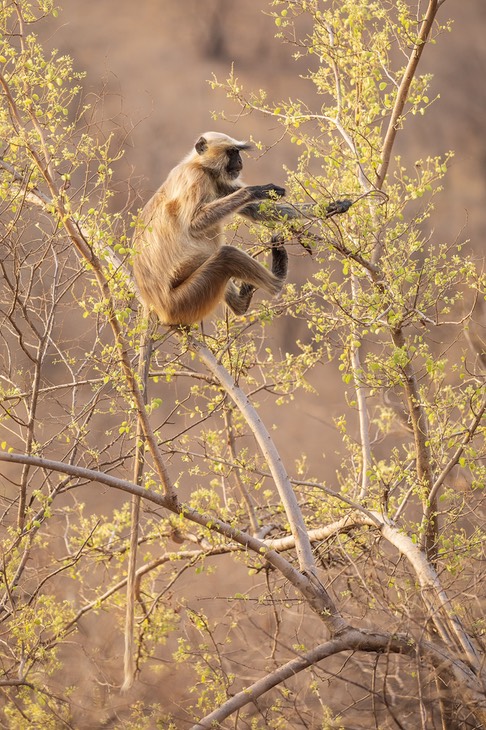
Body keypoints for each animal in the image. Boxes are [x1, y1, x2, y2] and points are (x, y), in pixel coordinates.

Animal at [132, 131, 296, 324]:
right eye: (232, 152)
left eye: (237, 152)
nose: (240, 161)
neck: (198, 165)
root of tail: (156, 306)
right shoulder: (196, 177)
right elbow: (194, 224)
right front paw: (254, 191)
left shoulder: (217, 181)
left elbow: (257, 212)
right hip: (183, 301)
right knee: (227, 255)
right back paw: (277, 281)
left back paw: (241, 303)